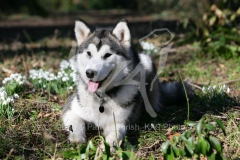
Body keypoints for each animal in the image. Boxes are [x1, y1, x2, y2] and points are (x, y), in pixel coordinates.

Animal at [62, 18, 191, 150]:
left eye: (107, 55)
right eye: (89, 53)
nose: (89, 73)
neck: (102, 97)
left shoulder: (119, 123)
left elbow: (115, 135)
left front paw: (106, 147)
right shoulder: (70, 110)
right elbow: (77, 123)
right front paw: (77, 139)